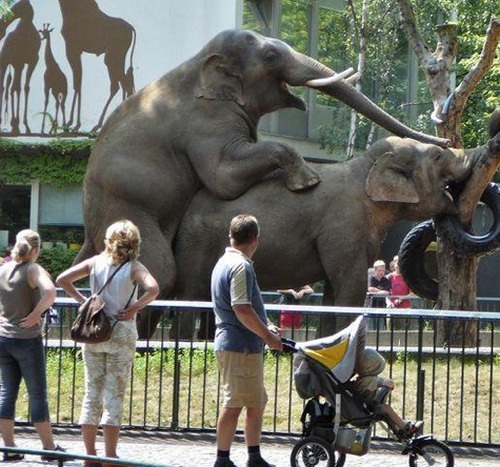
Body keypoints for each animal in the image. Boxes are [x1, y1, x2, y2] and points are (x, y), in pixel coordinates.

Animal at [77, 29, 450, 338]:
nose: (446, 140)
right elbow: (224, 178)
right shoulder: (206, 121)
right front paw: (308, 180)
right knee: (164, 273)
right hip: (125, 208)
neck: (199, 62)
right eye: (271, 56)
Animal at [172, 132, 500, 340]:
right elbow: (351, 288)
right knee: (191, 293)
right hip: (197, 243)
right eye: (437, 156)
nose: (490, 145)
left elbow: (332, 291)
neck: (365, 168)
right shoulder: (343, 226)